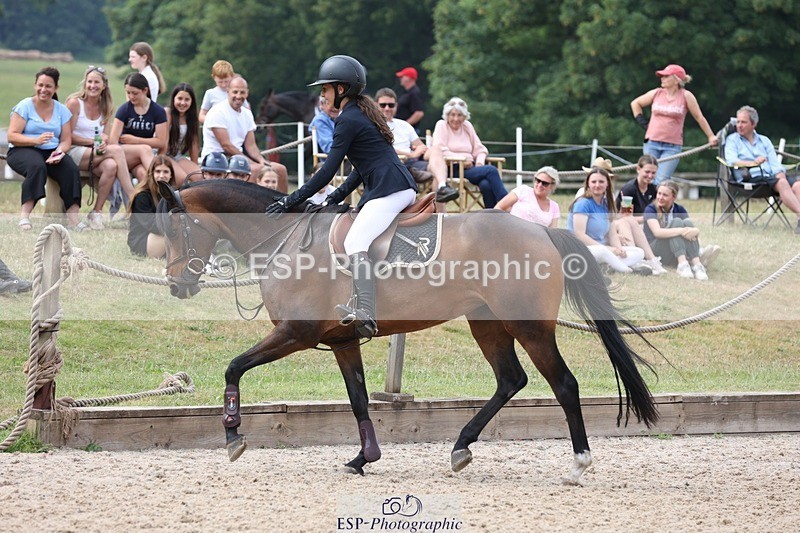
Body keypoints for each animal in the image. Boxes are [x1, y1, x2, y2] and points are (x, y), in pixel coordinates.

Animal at [156, 179, 659, 483]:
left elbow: (233, 368)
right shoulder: (341, 342)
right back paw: (461, 447)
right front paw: (363, 459)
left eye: (176, 230)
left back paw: (578, 465)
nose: (176, 285)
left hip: (528, 327)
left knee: (564, 384)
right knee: (510, 380)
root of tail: (542, 233)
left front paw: (233, 437)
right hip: (487, 324)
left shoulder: (296, 333)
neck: (285, 239)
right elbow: (358, 399)